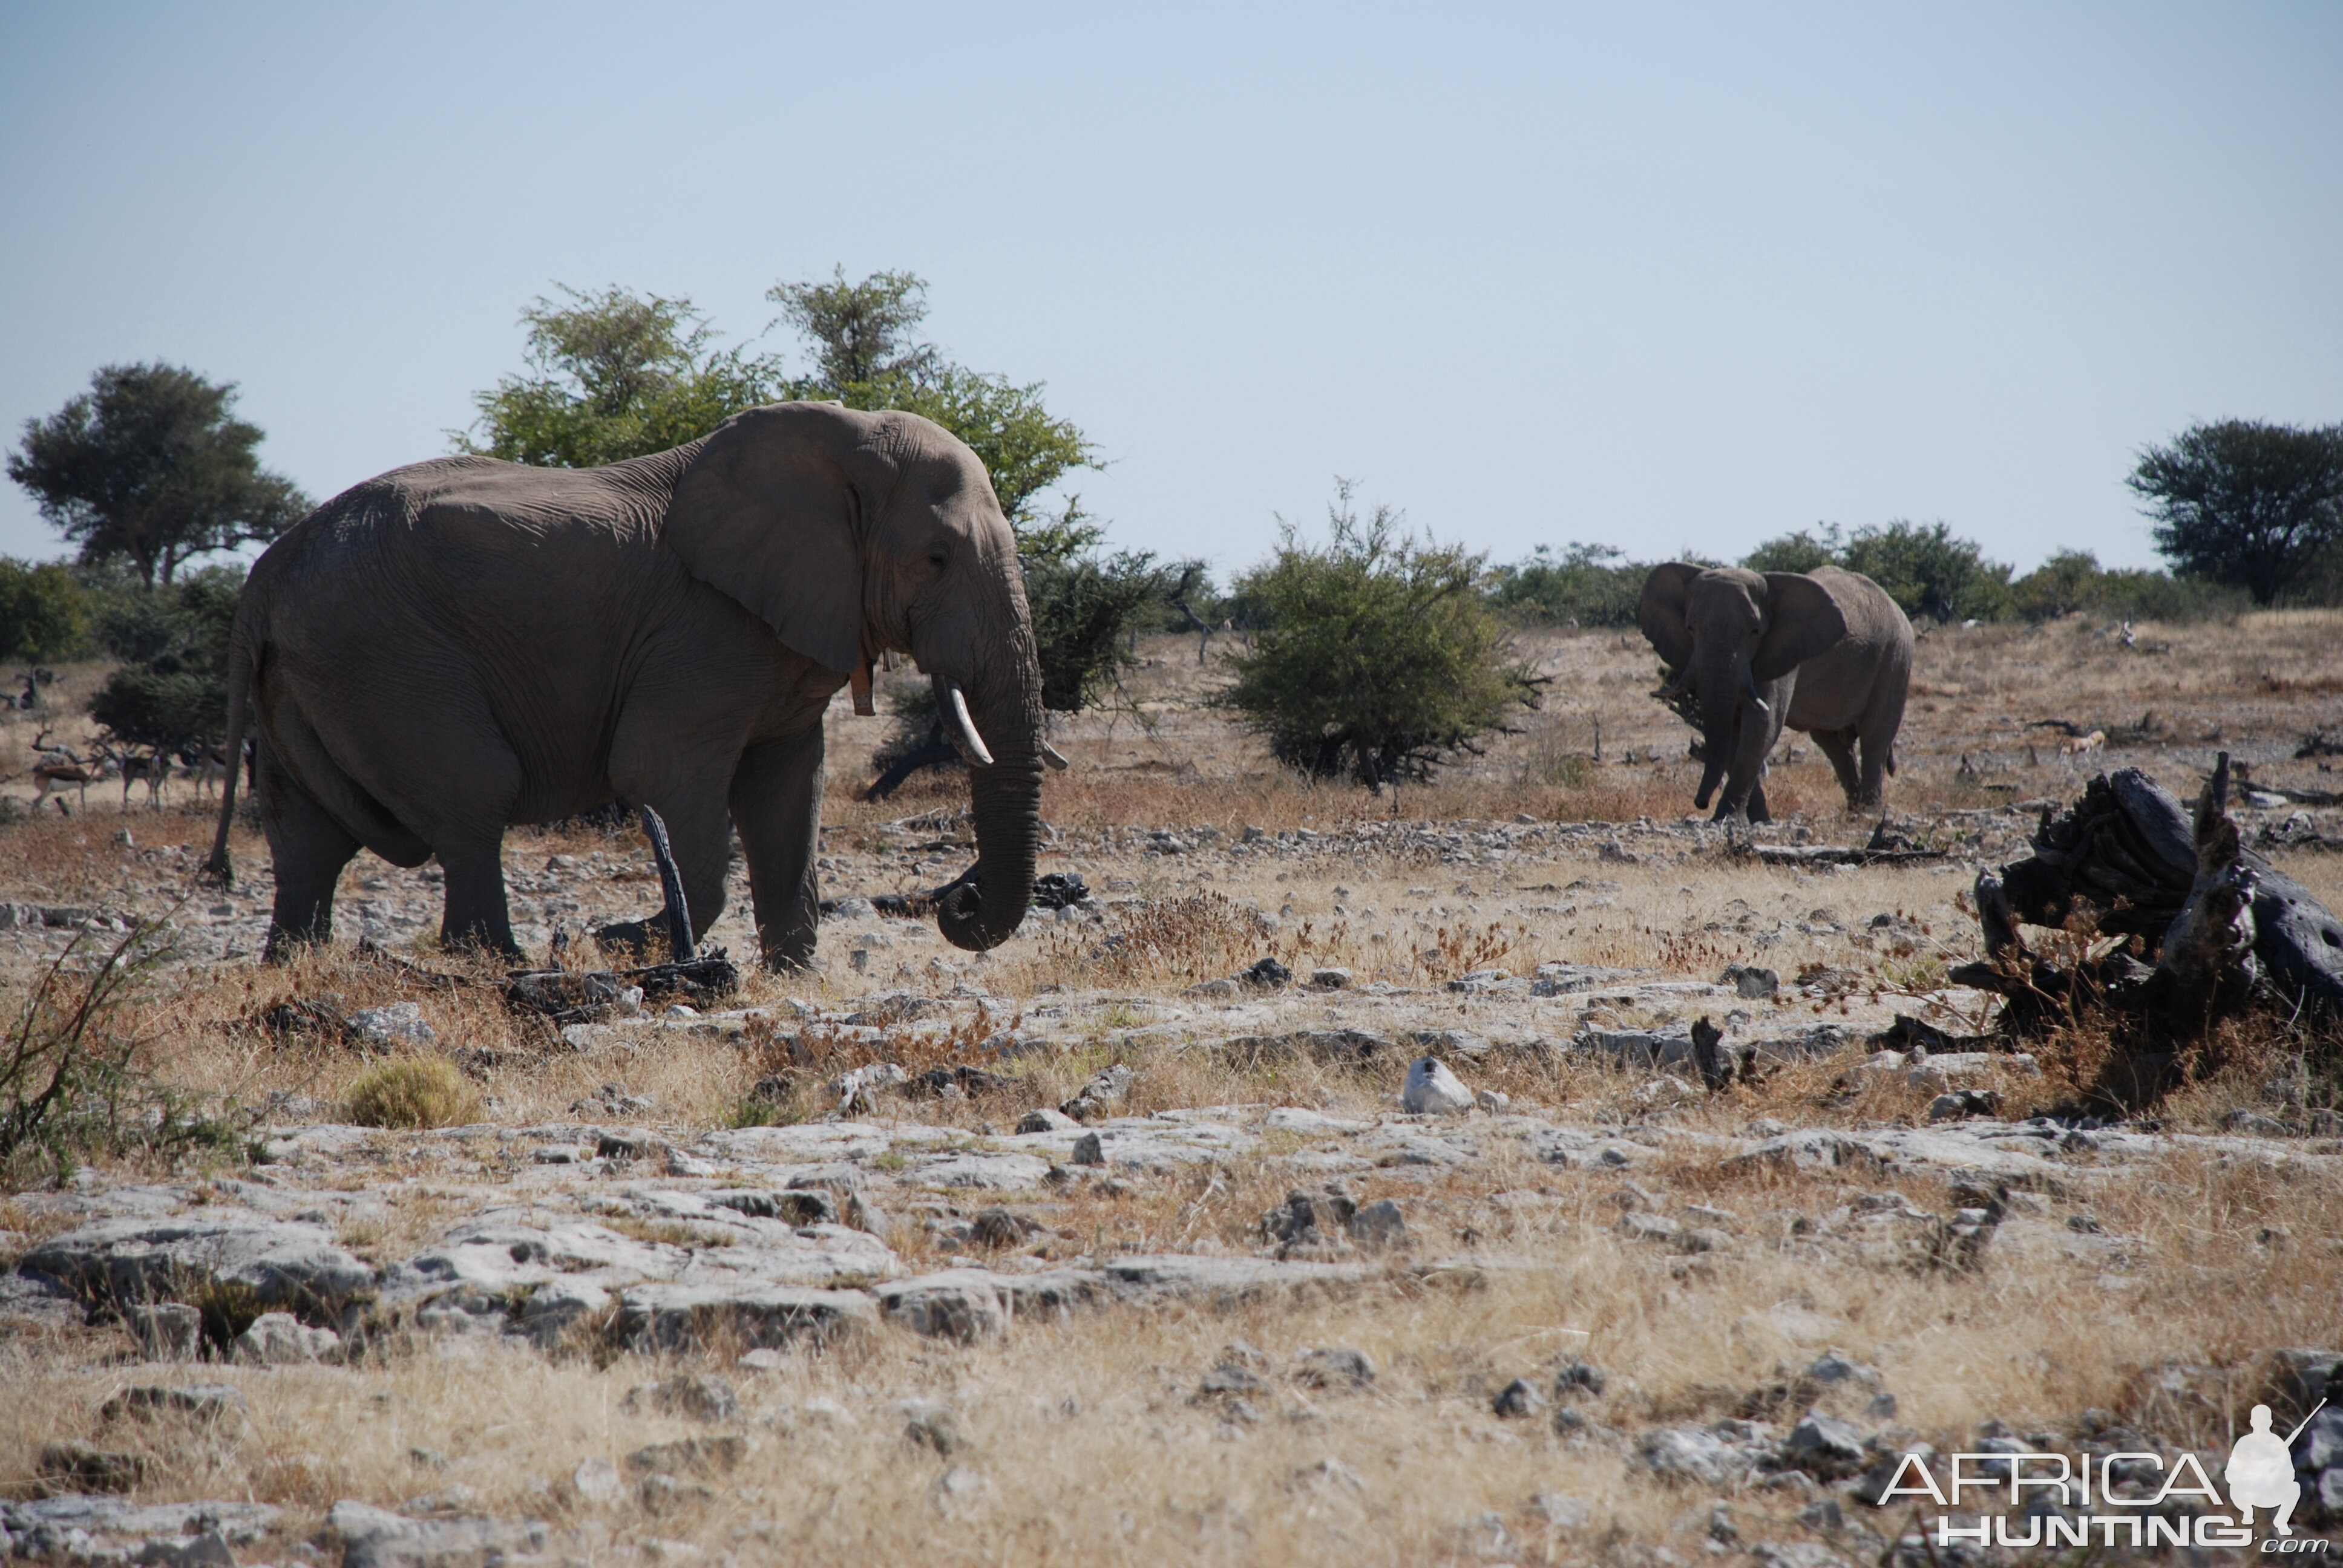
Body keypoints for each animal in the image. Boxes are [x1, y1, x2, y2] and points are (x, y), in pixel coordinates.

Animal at [201, 400, 1044, 965]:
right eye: (935, 559)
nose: (959, 902)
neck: (841, 440)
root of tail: (264, 575)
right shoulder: (700, 633)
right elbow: (661, 774)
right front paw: (623, 943)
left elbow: (787, 788)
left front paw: (794, 976)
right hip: (385, 656)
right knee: (471, 800)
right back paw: (499, 966)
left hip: (308, 674)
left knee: (308, 836)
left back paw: (295, 970)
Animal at [1640, 564, 1912, 829]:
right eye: (1690, 628)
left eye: (1755, 631)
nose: (1700, 803)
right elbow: (1736, 732)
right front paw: (1759, 820)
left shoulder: (1783, 650)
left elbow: (1763, 724)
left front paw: (1728, 819)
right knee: (1833, 744)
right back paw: (1853, 811)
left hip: (1896, 657)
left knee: (1874, 734)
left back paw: (1868, 814)